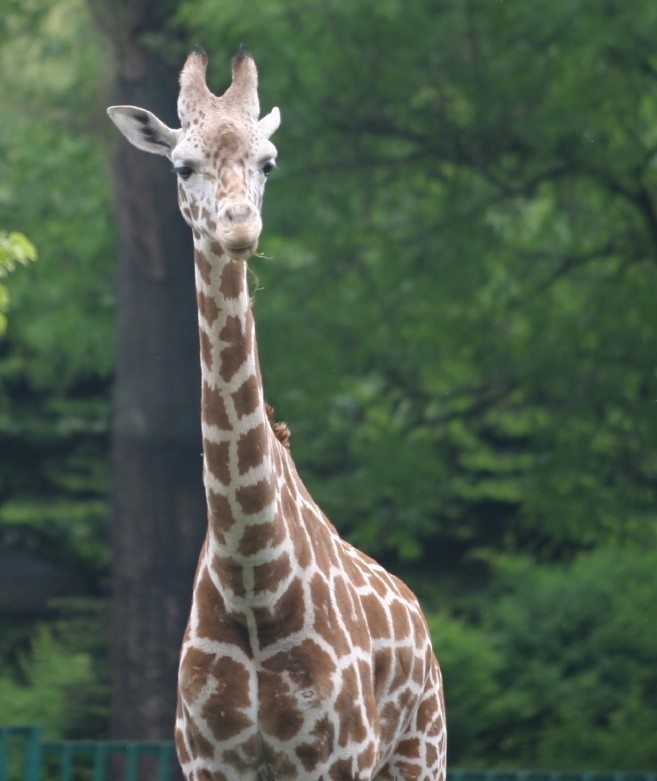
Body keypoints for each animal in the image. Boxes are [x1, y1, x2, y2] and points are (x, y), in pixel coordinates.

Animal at [107, 48, 446, 780]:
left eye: (269, 161)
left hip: (420, 750)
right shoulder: (208, 758)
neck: (254, 585)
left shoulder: (335, 757)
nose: (239, 226)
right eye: (182, 165)